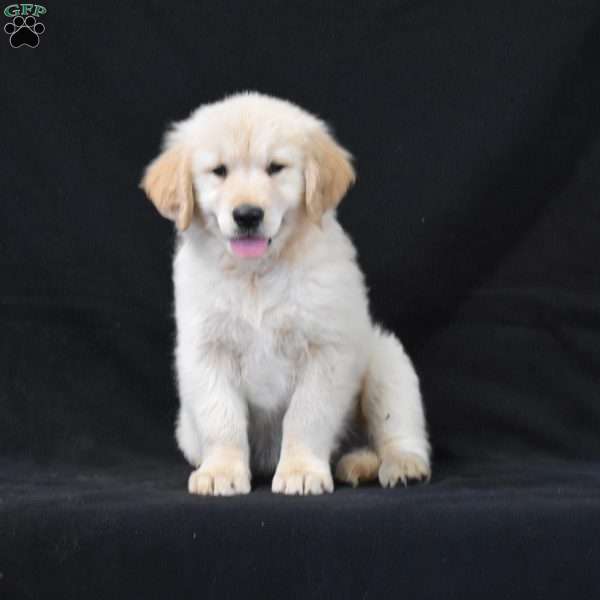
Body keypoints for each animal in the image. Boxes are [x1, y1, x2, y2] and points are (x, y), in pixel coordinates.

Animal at [142, 92, 432, 496]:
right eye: (219, 171)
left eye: (275, 168)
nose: (248, 214)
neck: (256, 275)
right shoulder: (207, 351)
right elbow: (222, 418)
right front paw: (221, 471)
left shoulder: (324, 350)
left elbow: (305, 415)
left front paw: (300, 470)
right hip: (185, 430)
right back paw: (357, 464)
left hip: (387, 361)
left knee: (397, 428)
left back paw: (398, 464)